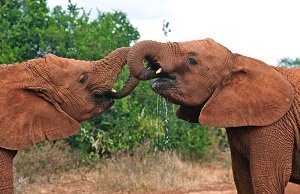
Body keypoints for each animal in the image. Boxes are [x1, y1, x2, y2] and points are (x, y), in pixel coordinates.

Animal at [126, 38, 300, 193]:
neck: (236, 60)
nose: (151, 66)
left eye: (192, 60)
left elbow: (269, 180)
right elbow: (242, 179)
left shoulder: (275, 124)